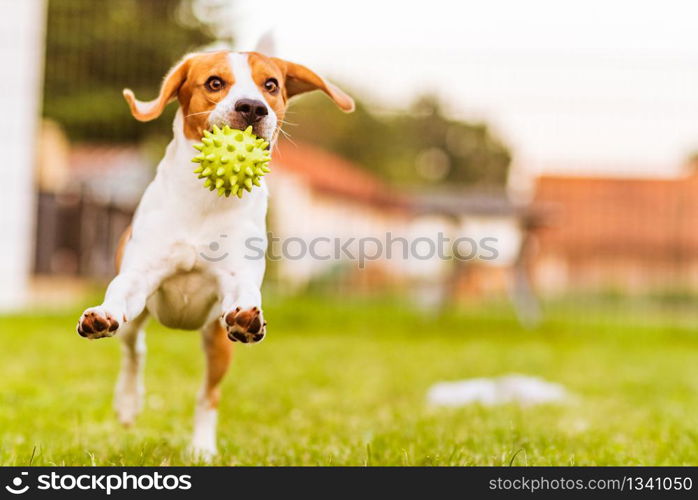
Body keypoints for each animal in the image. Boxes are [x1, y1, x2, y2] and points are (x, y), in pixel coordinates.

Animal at [75, 50, 354, 458]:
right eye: (214, 83)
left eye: (271, 85)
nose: (252, 106)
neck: (206, 199)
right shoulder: (139, 276)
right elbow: (119, 295)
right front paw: (102, 315)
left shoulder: (237, 280)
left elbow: (245, 296)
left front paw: (249, 318)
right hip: (141, 320)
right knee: (134, 350)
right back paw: (128, 402)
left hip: (217, 342)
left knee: (208, 393)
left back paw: (202, 449)